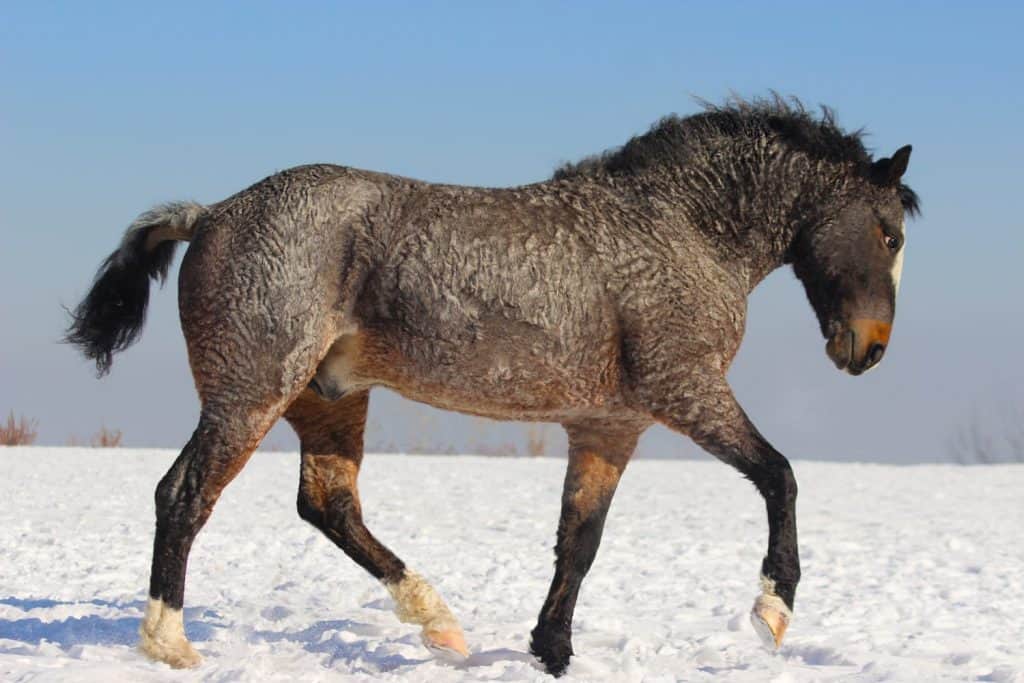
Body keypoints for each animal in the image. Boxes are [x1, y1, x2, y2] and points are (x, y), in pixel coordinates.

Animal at [65, 96, 917, 676]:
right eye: (888, 233)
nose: (871, 349)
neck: (682, 232)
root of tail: (210, 212)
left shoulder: (608, 427)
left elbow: (579, 542)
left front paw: (551, 649)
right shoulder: (687, 391)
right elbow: (780, 475)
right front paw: (773, 612)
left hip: (329, 398)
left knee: (328, 505)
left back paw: (437, 620)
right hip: (250, 395)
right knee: (184, 494)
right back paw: (169, 641)